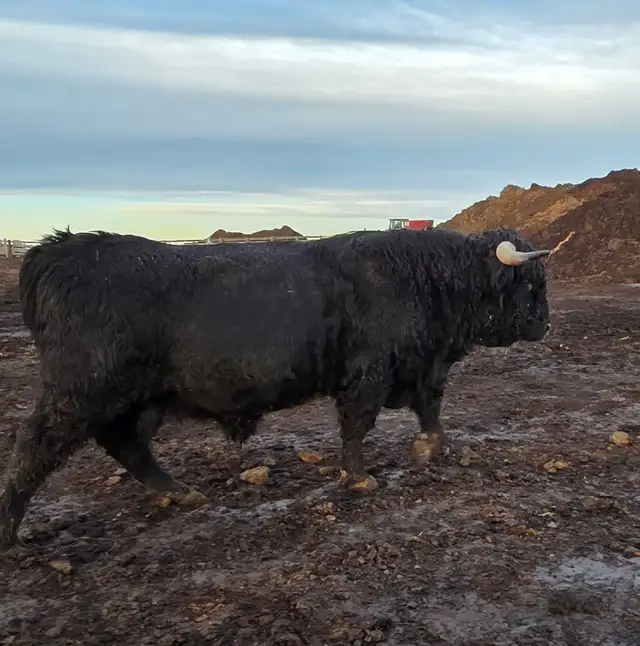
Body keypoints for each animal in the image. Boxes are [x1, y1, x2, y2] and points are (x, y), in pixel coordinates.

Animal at [0, 226, 552, 549]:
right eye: (532, 284)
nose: (545, 325)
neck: (420, 278)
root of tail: (59, 249)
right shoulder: (368, 373)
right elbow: (359, 425)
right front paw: (359, 478)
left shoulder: (420, 369)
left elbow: (430, 410)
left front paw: (429, 447)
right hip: (81, 391)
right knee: (34, 448)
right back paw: (9, 533)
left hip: (137, 399)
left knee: (127, 444)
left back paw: (179, 493)